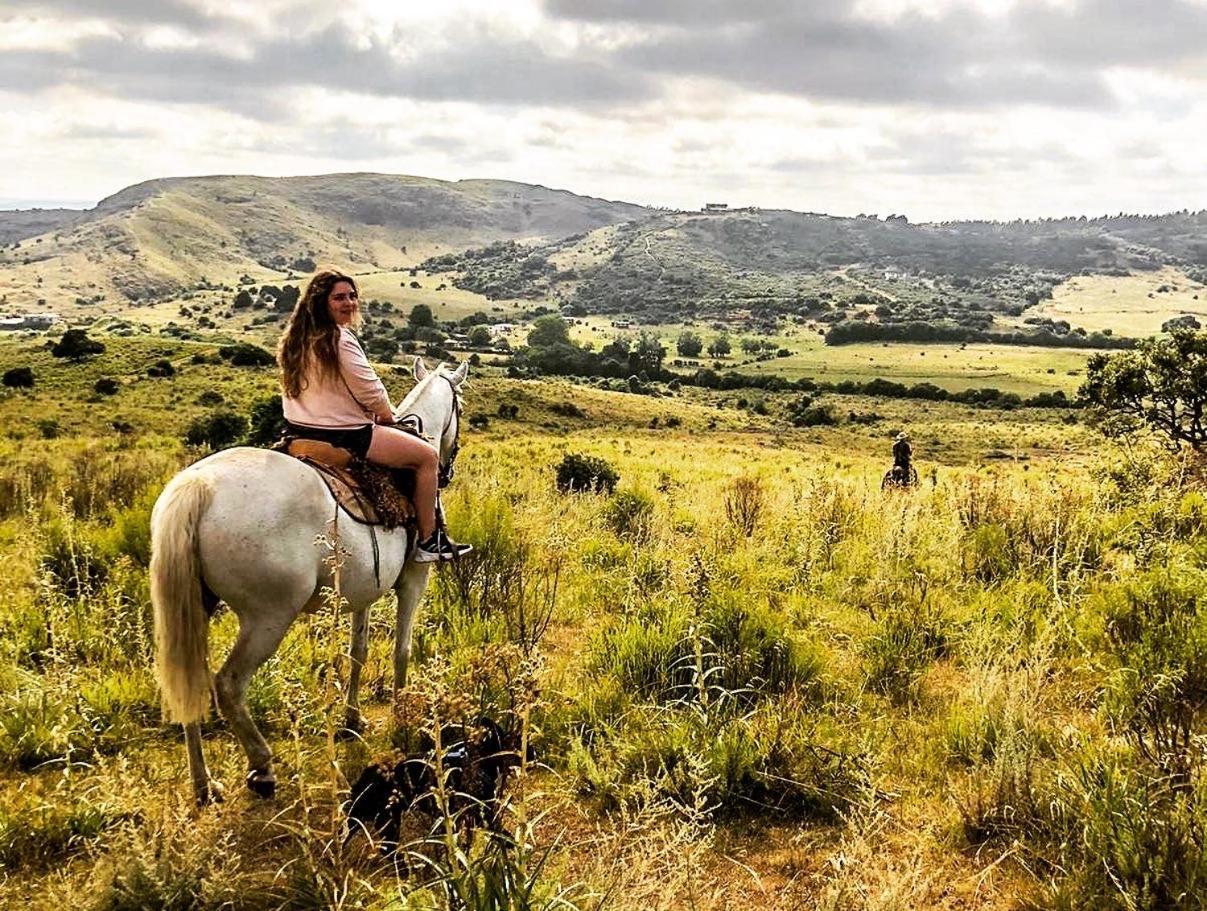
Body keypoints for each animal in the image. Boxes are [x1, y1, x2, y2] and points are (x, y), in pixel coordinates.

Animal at [149, 357, 465, 806]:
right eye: (460, 405)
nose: (447, 467)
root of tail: (199, 487)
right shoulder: (413, 579)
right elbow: (401, 651)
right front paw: (403, 715)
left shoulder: (363, 592)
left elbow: (358, 652)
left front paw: (352, 720)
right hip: (269, 616)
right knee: (228, 684)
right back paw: (261, 767)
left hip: (195, 606)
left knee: (191, 681)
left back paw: (203, 783)